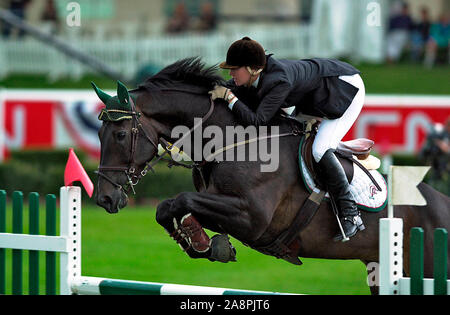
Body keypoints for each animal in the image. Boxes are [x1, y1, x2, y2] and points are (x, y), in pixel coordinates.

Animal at [94, 57, 450, 296]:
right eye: (98, 134)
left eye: (121, 135)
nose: (104, 199)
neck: (229, 141)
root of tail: (440, 204)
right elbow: (168, 207)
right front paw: (201, 243)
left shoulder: (252, 217)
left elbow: (179, 200)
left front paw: (203, 243)